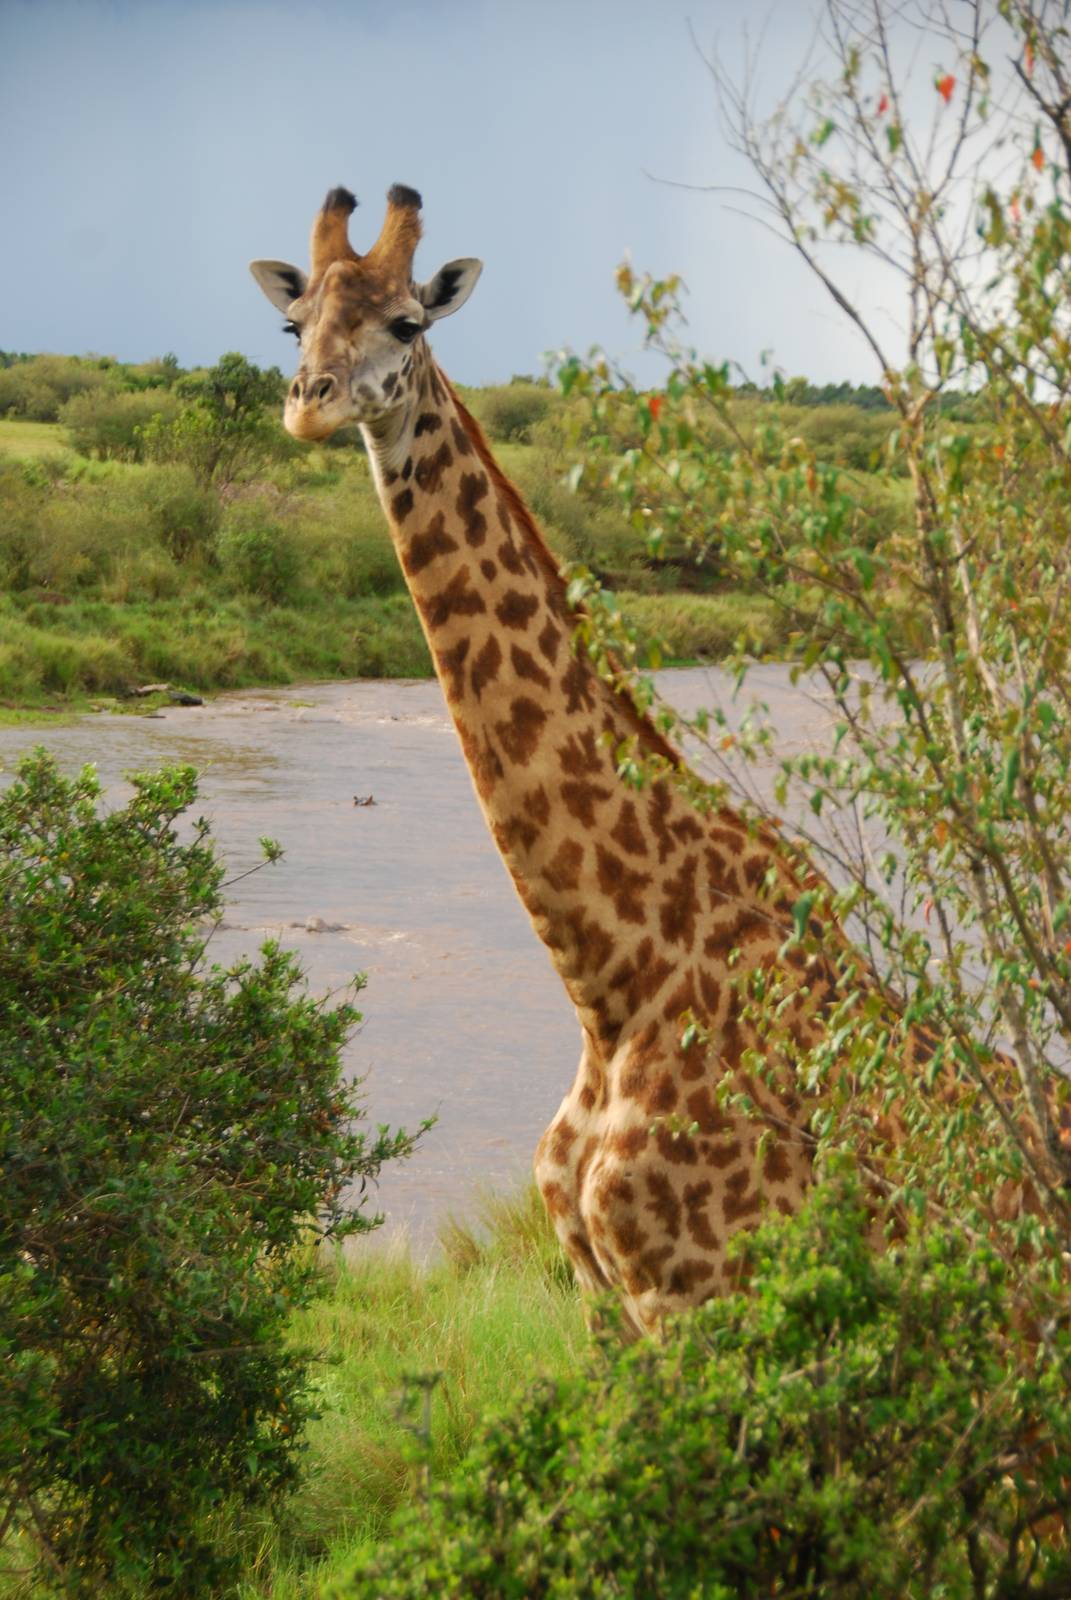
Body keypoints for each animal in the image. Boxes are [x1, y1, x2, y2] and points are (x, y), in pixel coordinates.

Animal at [248, 185, 1024, 1336]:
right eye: (294, 327)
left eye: (408, 323)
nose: (311, 402)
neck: (611, 983)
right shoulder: (603, 1302)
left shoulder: (699, 1296)